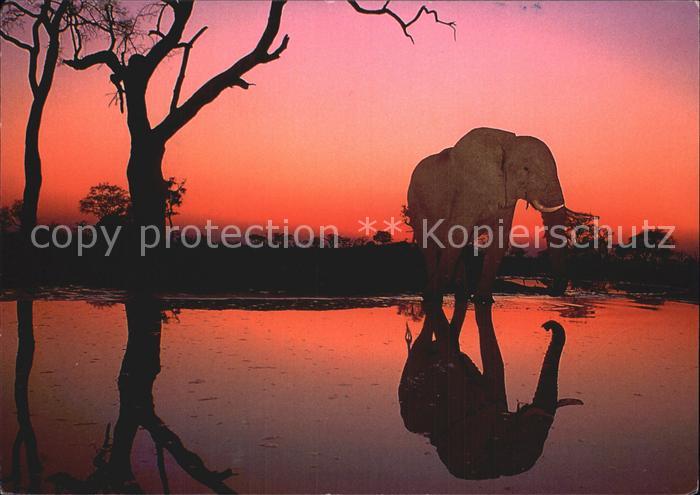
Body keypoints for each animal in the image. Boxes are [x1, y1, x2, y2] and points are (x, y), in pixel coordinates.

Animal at [407, 127, 576, 303]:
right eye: (526, 169)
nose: (550, 288)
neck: (509, 143)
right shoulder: (469, 187)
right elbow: (458, 233)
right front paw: (434, 296)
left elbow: (500, 238)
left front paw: (483, 300)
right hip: (415, 202)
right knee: (428, 244)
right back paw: (431, 296)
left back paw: (461, 295)